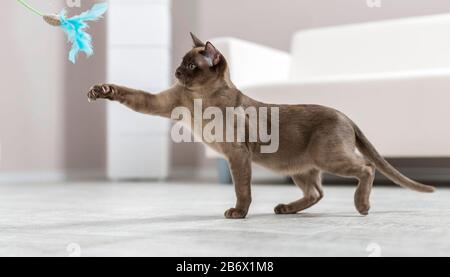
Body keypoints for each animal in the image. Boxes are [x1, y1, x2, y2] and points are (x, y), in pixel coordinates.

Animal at [86, 32, 434, 218]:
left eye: (191, 65)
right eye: (182, 64)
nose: (176, 72)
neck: (200, 98)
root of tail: (347, 115)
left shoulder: (237, 154)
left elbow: (242, 189)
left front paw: (238, 214)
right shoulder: (162, 103)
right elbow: (128, 93)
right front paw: (100, 90)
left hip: (328, 158)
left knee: (366, 168)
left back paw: (361, 206)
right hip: (300, 167)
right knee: (318, 191)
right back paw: (286, 209)